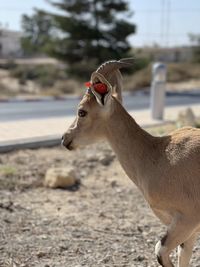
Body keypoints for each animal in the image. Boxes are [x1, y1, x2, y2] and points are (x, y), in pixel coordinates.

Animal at [61, 59, 200, 267]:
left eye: (82, 111)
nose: (65, 138)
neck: (157, 155)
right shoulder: (188, 229)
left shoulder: (187, 219)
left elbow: (160, 250)